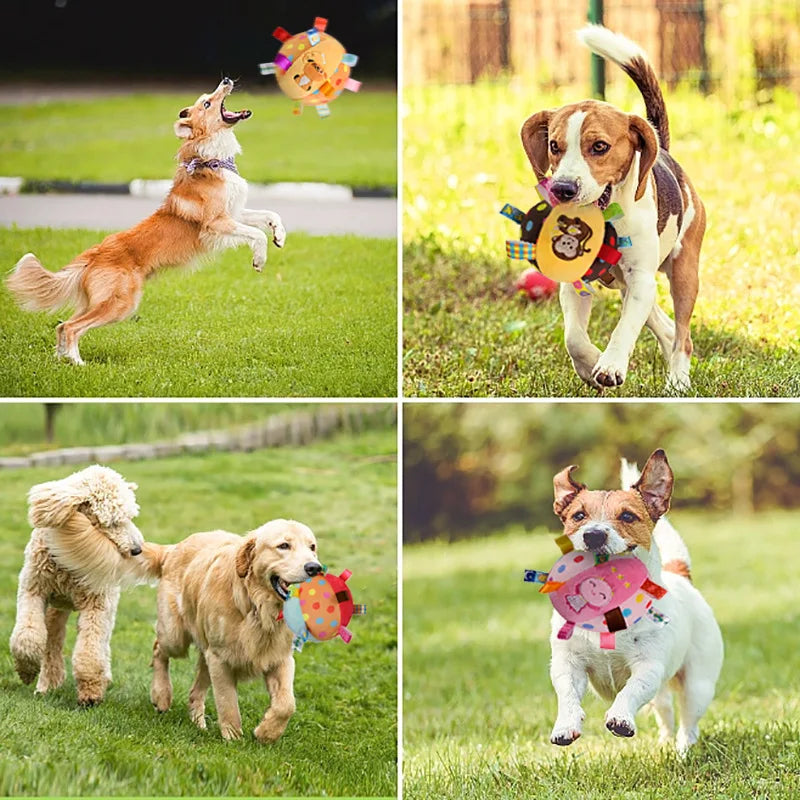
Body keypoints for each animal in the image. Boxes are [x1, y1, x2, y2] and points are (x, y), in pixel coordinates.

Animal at [5, 76, 288, 364]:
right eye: (207, 103)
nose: (227, 80)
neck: (211, 159)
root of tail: (93, 256)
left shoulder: (234, 213)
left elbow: (268, 215)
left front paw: (279, 234)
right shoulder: (216, 223)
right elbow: (256, 234)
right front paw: (259, 259)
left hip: (102, 301)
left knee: (62, 325)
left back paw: (64, 360)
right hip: (120, 303)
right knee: (72, 327)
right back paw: (79, 363)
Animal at [9, 466, 145, 704]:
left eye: (131, 518)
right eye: (112, 522)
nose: (137, 550)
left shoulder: (97, 604)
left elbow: (90, 652)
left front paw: (91, 693)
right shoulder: (32, 589)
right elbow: (27, 636)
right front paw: (26, 670)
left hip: (106, 604)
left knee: (101, 644)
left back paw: (102, 677)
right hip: (55, 607)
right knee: (52, 641)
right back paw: (47, 684)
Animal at [520, 28, 704, 394]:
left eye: (600, 147)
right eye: (554, 146)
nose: (563, 189)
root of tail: (665, 150)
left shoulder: (641, 279)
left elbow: (623, 329)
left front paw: (610, 365)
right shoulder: (577, 281)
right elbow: (573, 337)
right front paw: (590, 363)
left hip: (683, 273)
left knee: (683, 337)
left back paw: (677, 382)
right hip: (631, 285)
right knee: (665, 327)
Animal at [548, 450, 720, 756]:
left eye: (628, 516)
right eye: (579, 516)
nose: (593, 534)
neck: (606, 604)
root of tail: (680, 575)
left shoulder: (649, 667)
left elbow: (631, 690)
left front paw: (620, 718)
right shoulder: (567, 663)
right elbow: (566, 694)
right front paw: (565, 726)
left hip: (697, 685)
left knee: (689, 723)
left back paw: (682, 752)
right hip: (662, 694)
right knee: (666, 713)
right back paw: (664, 744)